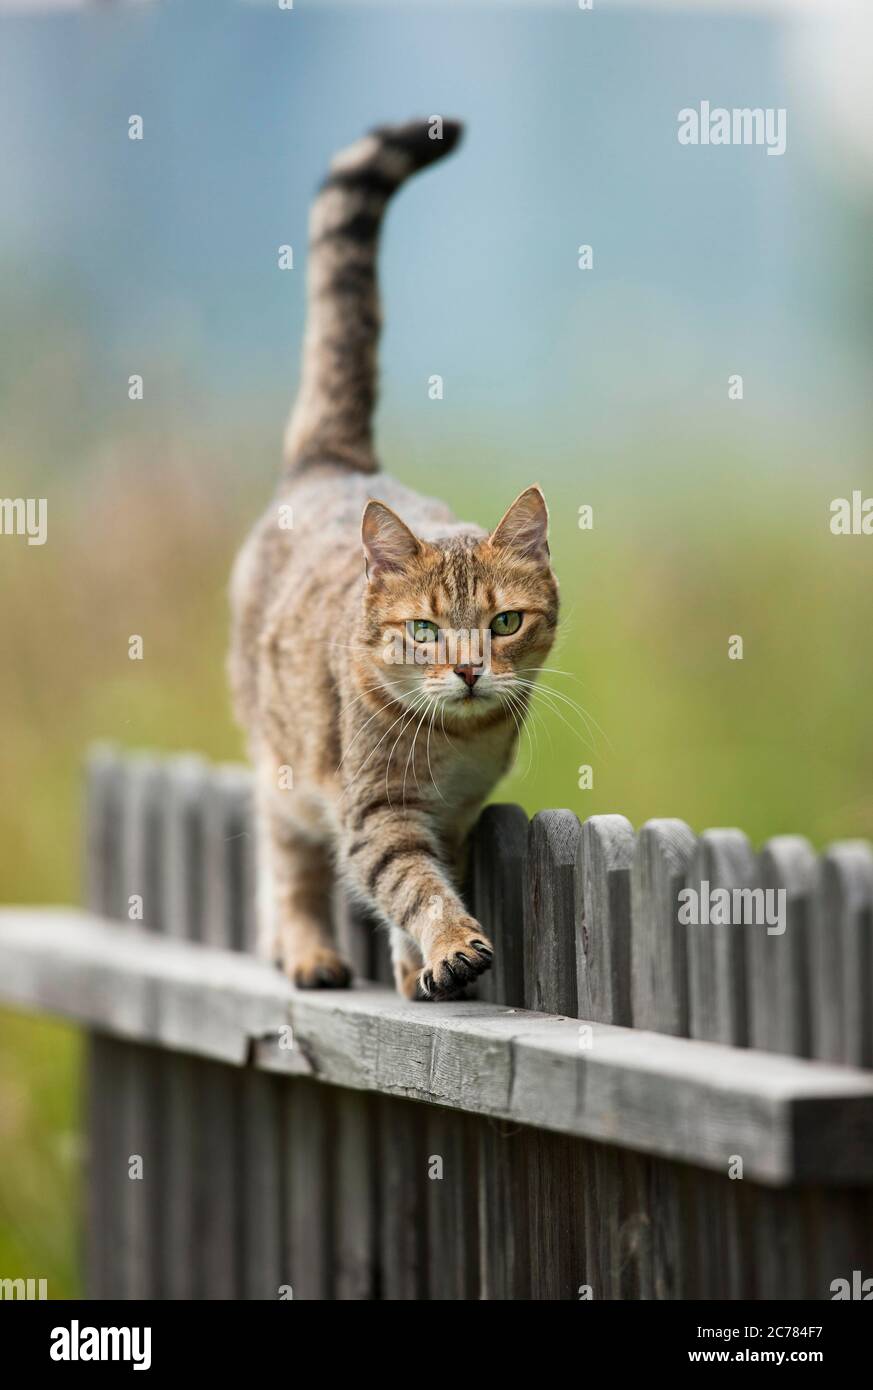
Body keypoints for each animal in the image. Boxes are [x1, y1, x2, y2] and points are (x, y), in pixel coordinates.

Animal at [230, 113, 558, 995]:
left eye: (505, 622)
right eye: (422, 631)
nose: (470, 669)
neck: (454, 746)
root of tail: (335, 462)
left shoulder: (458, 812)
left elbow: (431, 876)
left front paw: (417, 968)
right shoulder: (374, 810)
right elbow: (412, 885)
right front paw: (449, 947)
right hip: (282, 767)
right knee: (285, 861)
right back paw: (306, 950)